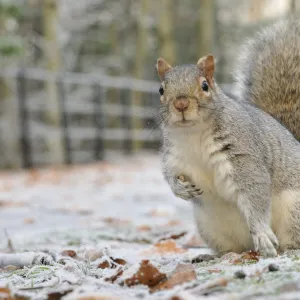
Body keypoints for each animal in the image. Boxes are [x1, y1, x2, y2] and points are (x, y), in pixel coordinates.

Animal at [158, 19, 300, 256]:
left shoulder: (243, 154)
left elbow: (255, 192)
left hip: (294, 210)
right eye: (161, 89)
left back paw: (287, 249)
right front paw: (180, 188)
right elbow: (169, 175)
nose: (181, 103)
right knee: (232, 248)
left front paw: (262, 233)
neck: (193, 134)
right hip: (209, 226)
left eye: (205, 85)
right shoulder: (173, 157)